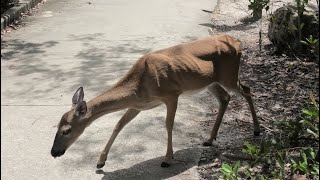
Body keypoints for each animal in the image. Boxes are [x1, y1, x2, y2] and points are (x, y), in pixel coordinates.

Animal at [50, 33, 260, 169]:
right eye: (56, 126)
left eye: (67, 130)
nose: (53, 152)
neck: (140, 85)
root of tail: (238, 42)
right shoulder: (138, 105)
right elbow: (119, 125)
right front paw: (101, 161)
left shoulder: (172, 94)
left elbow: (168, 124)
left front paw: (167, 158)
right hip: (211, 82)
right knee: (225, 98)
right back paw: (209, 139)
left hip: (229, 75)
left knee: (247, 90)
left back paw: (257, 131)